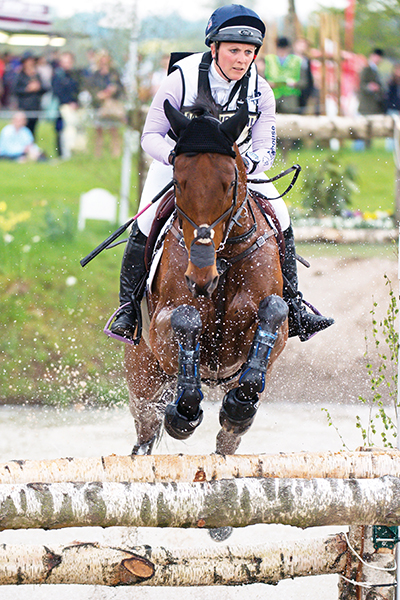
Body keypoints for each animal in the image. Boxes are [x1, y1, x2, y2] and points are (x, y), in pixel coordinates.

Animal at [124, 99, 288, 454]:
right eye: (178, 182)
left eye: (230, 184)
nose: (201, 276)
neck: (222, 260)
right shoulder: (161, 329)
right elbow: (186, 320)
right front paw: (183, 415)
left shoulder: (272, 333)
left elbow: (274, 312)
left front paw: (238, 408)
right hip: (143, 376)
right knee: (145, 434)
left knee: (228, 443)